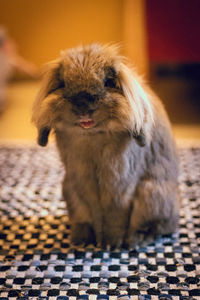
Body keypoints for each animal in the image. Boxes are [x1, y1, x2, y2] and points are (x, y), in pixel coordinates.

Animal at [32, 42, 179, 248]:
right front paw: (98, 242)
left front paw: (110, 244)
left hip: (152, 193)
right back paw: (80, 239)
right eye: (63, 84)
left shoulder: (120, 182)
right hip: (68, 190)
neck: (93, 135)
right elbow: (95, 212)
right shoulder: (82, 179)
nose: (83, 105)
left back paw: (138, 239)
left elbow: (115, 213)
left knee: (159, 225)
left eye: (108, 82)